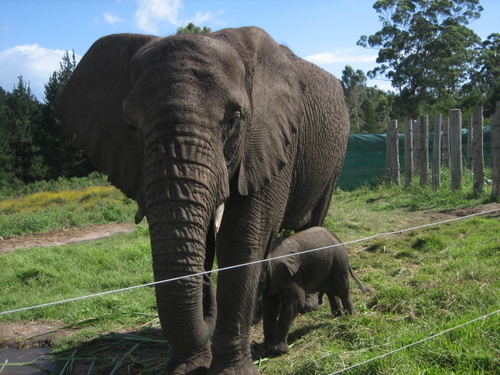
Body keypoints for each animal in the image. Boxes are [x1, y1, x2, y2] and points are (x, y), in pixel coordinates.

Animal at [57, 27, 348, 375]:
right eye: (131, 126)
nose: (207, 295)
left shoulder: (271, 140)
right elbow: (204, 242)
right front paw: (189, 367)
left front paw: (231, 371)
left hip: (334, 158)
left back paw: (309, 305)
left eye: (234, 119)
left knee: (313, 220)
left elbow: (240, 241)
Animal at [262, 226, 368, 356]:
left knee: (342, 291)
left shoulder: (291, 275)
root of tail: (339, 240)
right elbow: (270, 304)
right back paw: (338, 316)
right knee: (331, 292)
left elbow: (296, 302)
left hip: (339, 262)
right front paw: (267, 347)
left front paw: (277, 351)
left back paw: (350, 318)